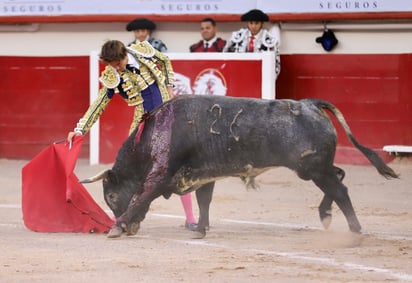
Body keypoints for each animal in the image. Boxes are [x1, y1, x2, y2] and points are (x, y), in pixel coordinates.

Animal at [81, 96, 400, 240]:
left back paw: (355, 230)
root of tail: (310, 103)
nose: (130, 228)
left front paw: (118, 226)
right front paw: (200, 228)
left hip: (313, 168)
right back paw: (326, 215)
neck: (151, 135)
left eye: (111, 196)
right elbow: (204, 200)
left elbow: (143, 195)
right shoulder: (203, 174)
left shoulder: (161, 174)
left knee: (341, 189)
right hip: (316, 167)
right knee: (339, 179)